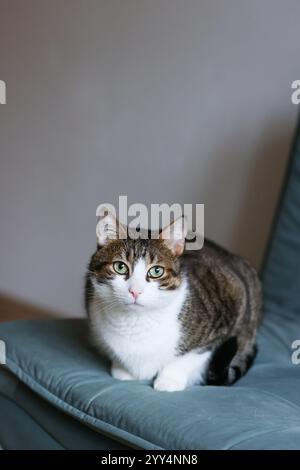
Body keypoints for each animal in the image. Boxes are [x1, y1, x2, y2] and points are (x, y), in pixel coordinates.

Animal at [85, 211, 262, 392]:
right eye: (120, 267)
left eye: (157, 271)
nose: (135, 291)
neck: (135, 322)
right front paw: (123, 370)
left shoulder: (226, 315)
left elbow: (189, 357)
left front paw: (168, 380)